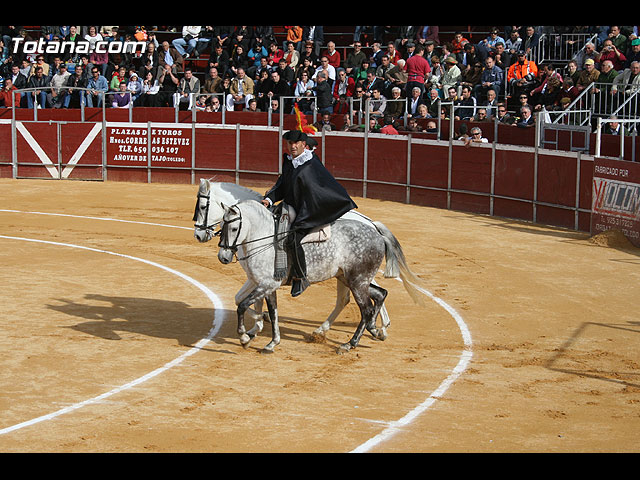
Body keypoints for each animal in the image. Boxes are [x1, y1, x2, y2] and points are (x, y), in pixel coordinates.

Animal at [211, 197, 424, 354]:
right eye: (221, 225)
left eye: (233, 228)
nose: (223, 257)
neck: (264, 238)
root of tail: (376, 233)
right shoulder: (266, 285)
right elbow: (270, 311)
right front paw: (271, 341)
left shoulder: (267, 284)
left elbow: (242, 305)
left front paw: (244, 337)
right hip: (350, 278)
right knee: (379, 294)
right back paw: (374, 330)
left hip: (358, 281)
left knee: (366, 309)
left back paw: (350, 343)